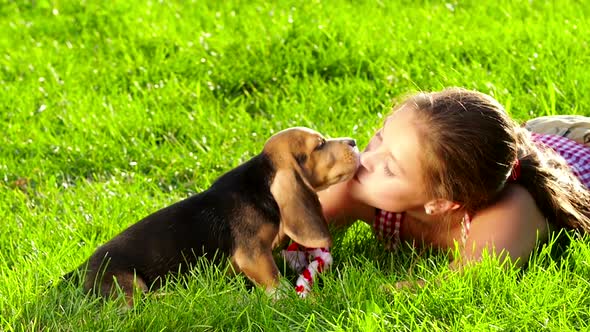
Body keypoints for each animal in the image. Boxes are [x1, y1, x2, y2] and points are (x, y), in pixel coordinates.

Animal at [66, 127, 360, 306]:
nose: (353, 142)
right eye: (320, 145)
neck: (262, 184)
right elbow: (273, 278)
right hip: (125, 282)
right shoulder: (252, 254)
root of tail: (79, 270)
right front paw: (291, 298)